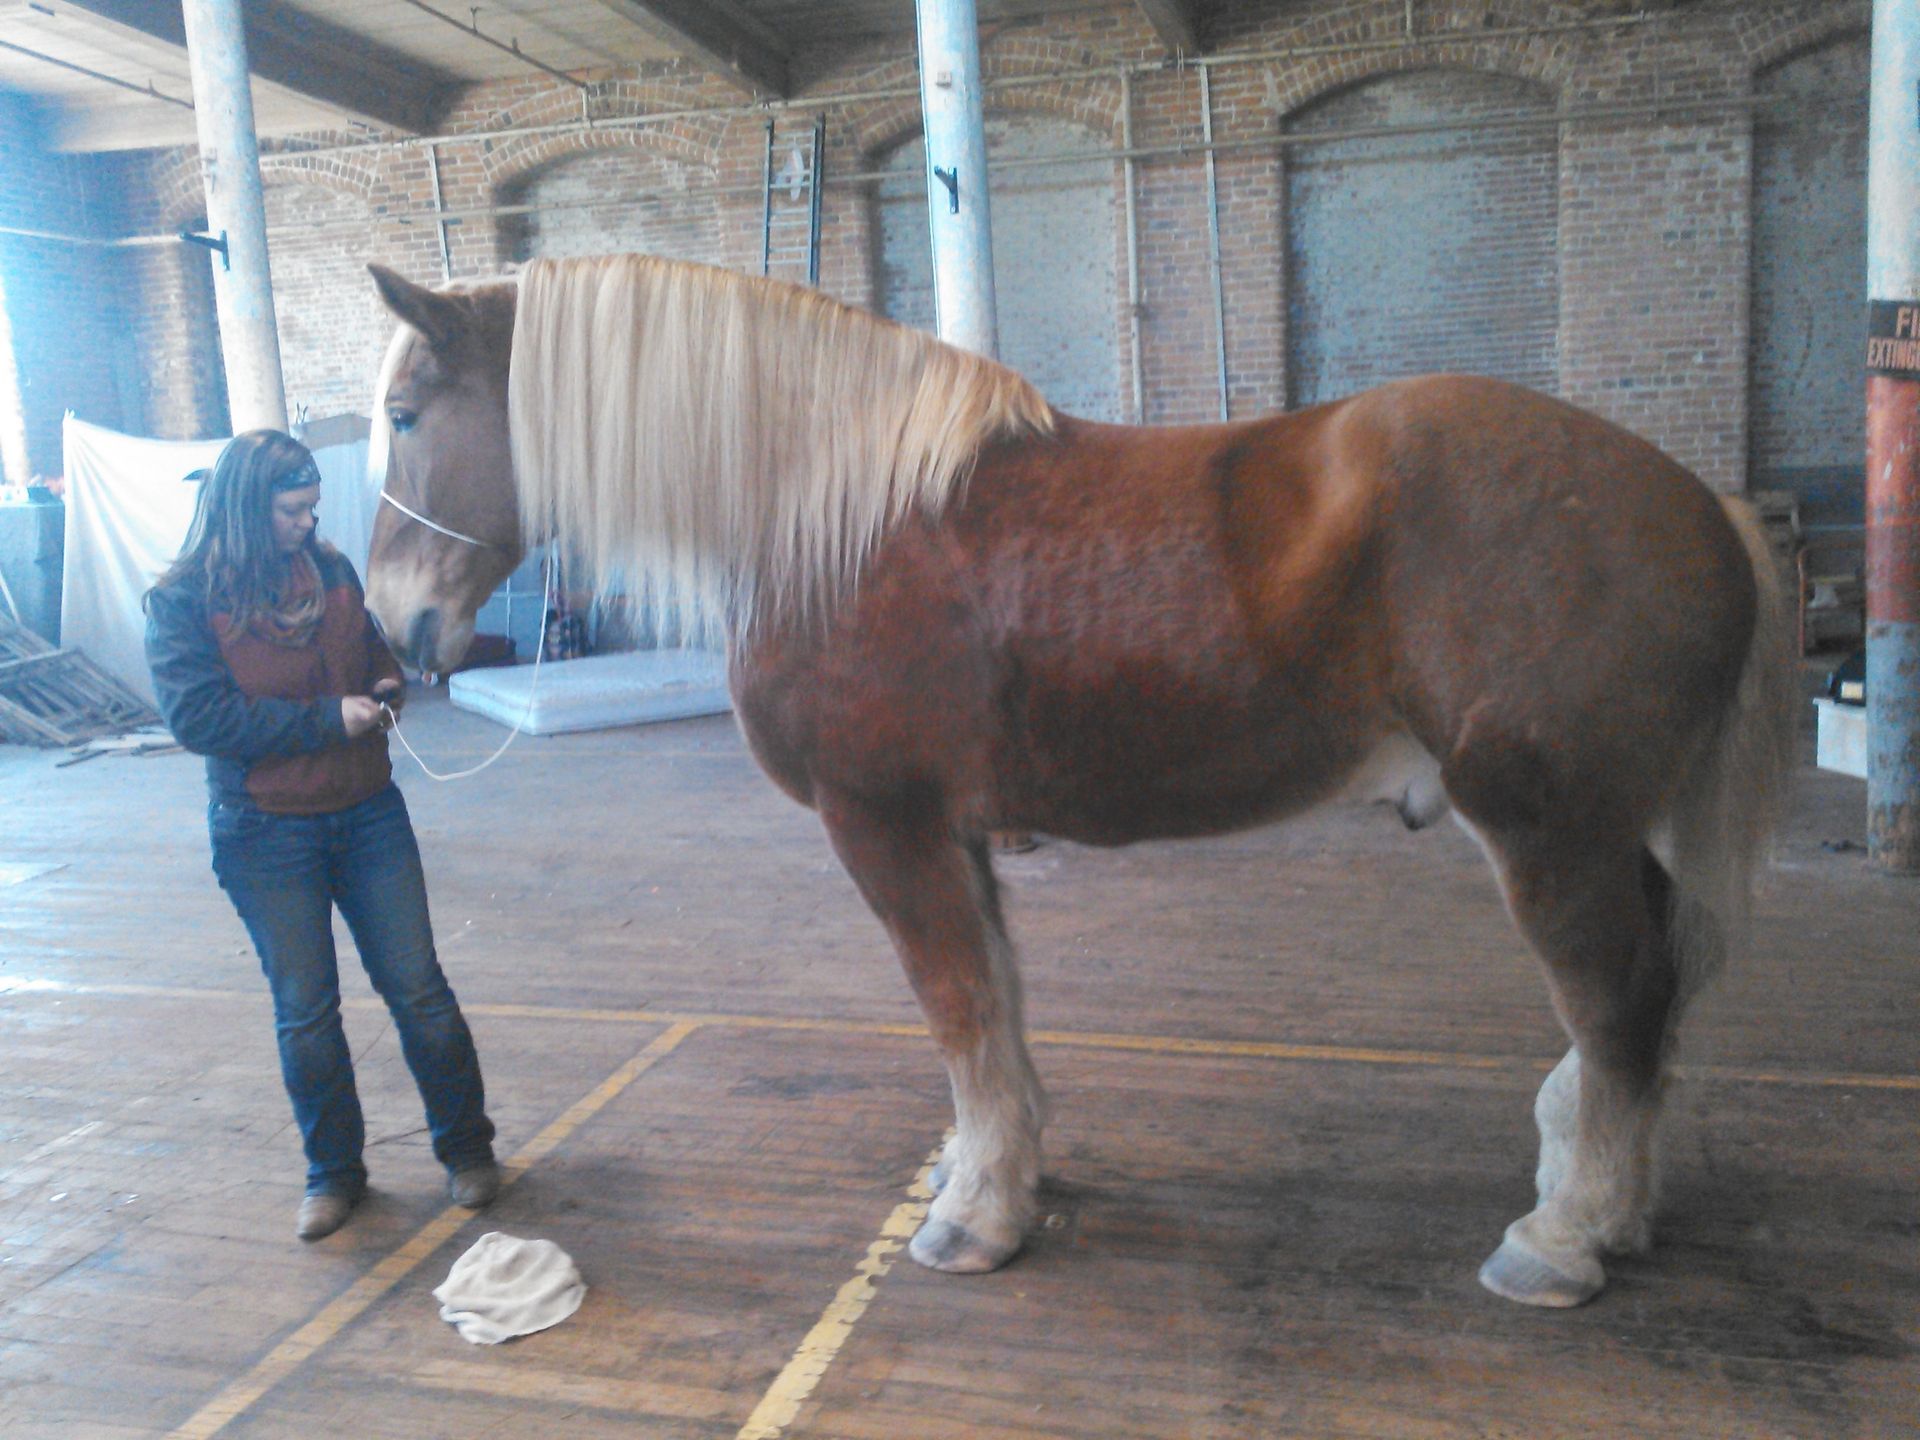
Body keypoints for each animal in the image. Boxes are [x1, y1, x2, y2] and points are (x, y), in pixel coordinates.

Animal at [361, 253, 1796, 1309]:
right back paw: (1618, 1209)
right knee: (1650, 996)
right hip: (1604, 832)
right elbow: (996, 1010)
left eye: (403, 416)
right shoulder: (959, 837)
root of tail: (1703, 507)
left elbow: (958, 1015)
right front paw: (1005, 1179)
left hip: (1550, 833)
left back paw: (1562, 1241)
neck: (836, 512)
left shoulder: (887, 830)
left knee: (1613, 1005)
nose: (393, 627)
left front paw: (976, 1221)